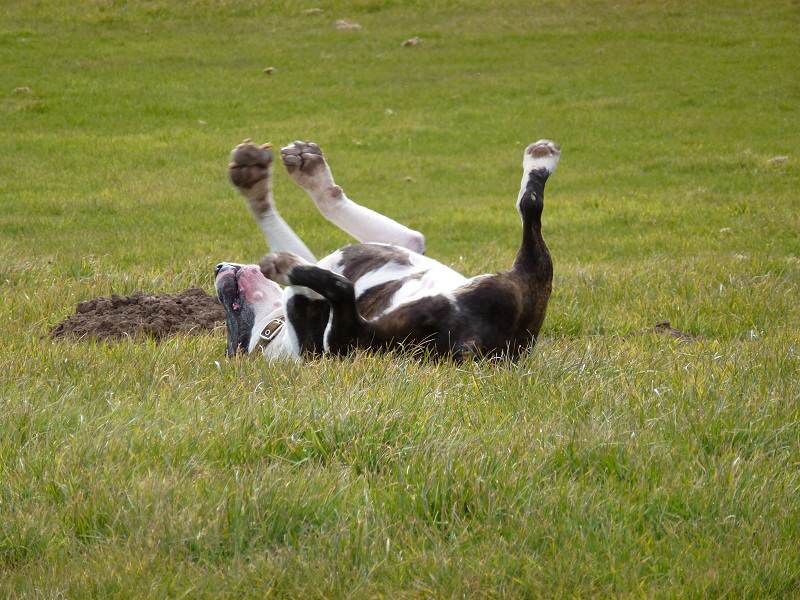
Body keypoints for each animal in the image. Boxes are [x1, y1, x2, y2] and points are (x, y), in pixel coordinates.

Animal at [216, 137, 560, 360]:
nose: (218, 267)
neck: (271, 331)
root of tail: (477, 347)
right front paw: (255, 184)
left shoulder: (407, 242)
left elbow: (330, 203)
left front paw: (302, 171)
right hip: (361, 337)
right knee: (342, 293)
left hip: (529, 283)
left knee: (530, 207)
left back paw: (540, 159)